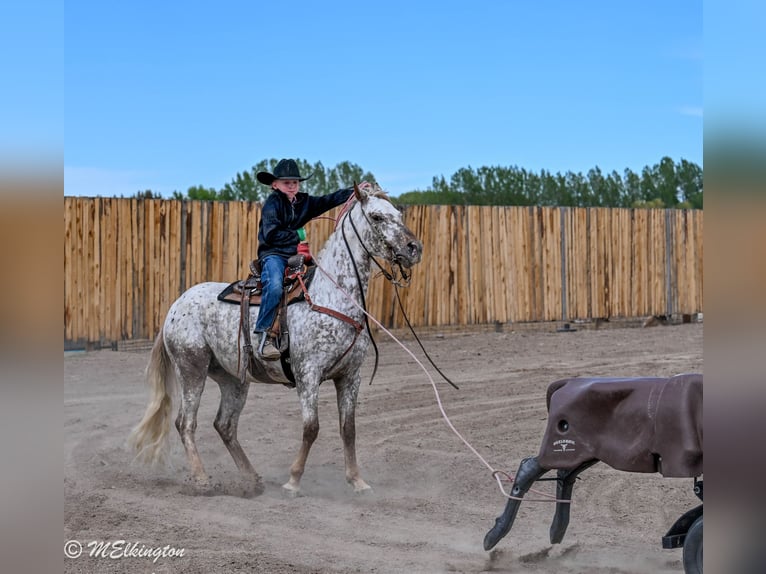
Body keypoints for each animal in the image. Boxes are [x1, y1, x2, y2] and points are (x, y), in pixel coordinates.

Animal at [129, 183, 423, 495]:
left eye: (398, 214)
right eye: (377, 217)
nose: (414, 248)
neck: (329, 296)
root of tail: (175, 306)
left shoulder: (350, 376)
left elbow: (348, 429)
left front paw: (357, 480)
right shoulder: (308, 375)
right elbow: (311, 428)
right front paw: (293, 480)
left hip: (233, 378)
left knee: (225, 425)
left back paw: (252, 478)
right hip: (191, 368)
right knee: (186, 422)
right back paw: (201, 478)